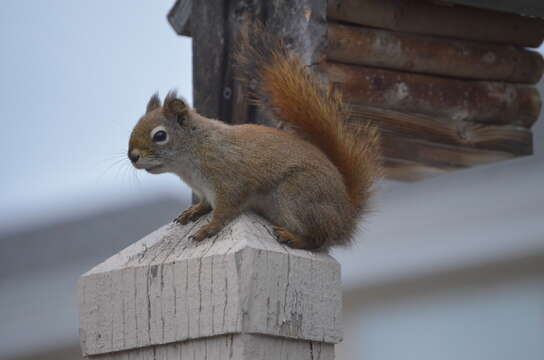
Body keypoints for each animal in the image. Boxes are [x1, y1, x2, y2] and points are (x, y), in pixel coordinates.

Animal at [129, 30, 380, 250]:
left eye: (160, 135)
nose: (132, 156)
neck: (194, 151)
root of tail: (347, 216)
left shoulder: (228, 181)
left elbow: (225, 210)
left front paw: (208, 229)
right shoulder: (204, 190)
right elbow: (205, 204)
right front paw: (194, 211)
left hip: (298, 195)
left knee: (319, 239)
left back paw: (294, 238)